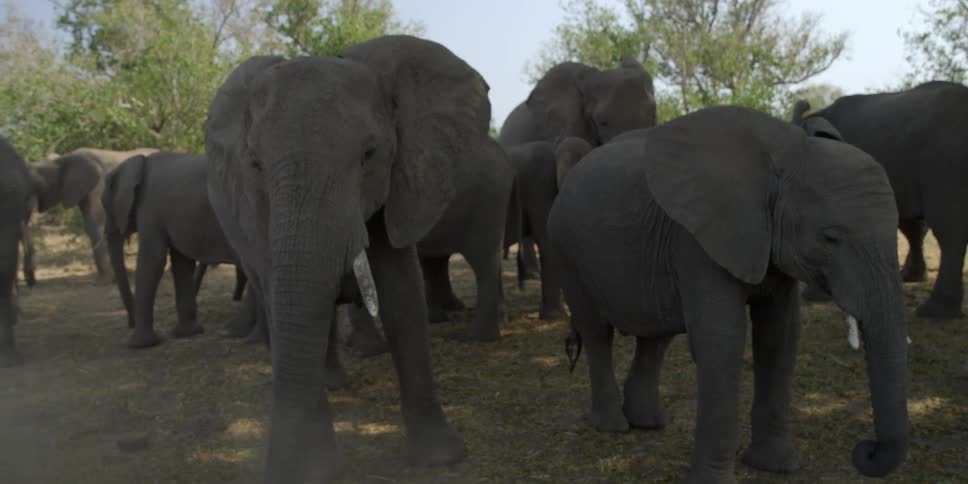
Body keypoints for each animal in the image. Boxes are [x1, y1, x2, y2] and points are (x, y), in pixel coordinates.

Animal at [26, 147, 157, 285]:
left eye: (40, 186)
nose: (32, 282)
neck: (62, 159)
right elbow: (89, 224)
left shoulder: (98, 185)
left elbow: (95, 223)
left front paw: (104, 281)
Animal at [101, 151, 257, 348]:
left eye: (104, 206)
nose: (131, 323)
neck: (138, 163)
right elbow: (181, 262)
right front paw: (188, 333)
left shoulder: (150, 209)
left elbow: (153, 260)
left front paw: (139, 345)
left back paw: (232, 331)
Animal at [204, 35, 488, 482]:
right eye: (254, 164)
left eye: (369, 154)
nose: (278, 469)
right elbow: (285, 296)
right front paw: (316, 470)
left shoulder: (400, 178)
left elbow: (402, 292)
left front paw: (441, 457)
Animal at [547, 106, 909, 482]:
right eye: (830, 237)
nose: (865, 450)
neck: (779, 163)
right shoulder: (697, 239)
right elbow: (722, 339)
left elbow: (780, 336)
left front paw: (778, 466)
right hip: (564, 247)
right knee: (597, 332)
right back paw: (612, 426)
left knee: (656, 334)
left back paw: (648, 423)